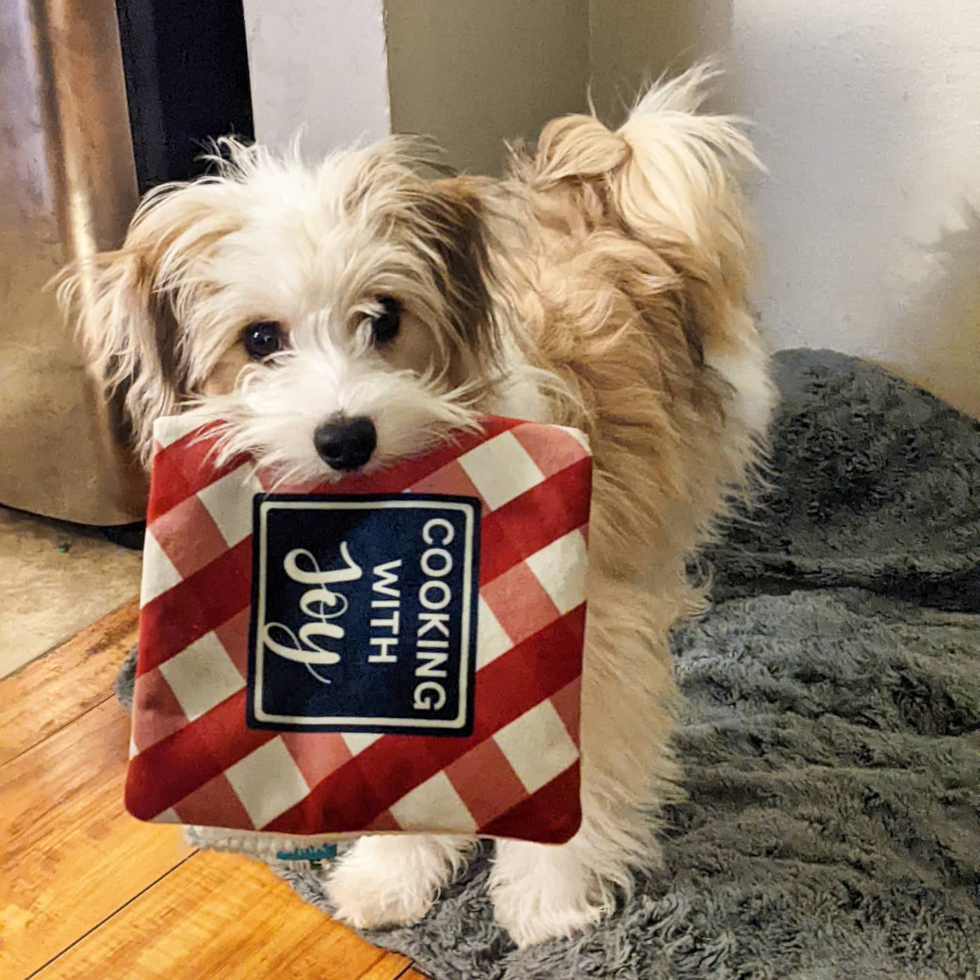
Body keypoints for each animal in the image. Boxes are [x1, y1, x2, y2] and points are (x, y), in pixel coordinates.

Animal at [63, 63, 772, 948]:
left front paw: (550, 898)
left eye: (384, 317)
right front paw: (394, 870)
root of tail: (600, 184)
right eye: (261, 340)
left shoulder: (586, 645)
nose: (344, 438)